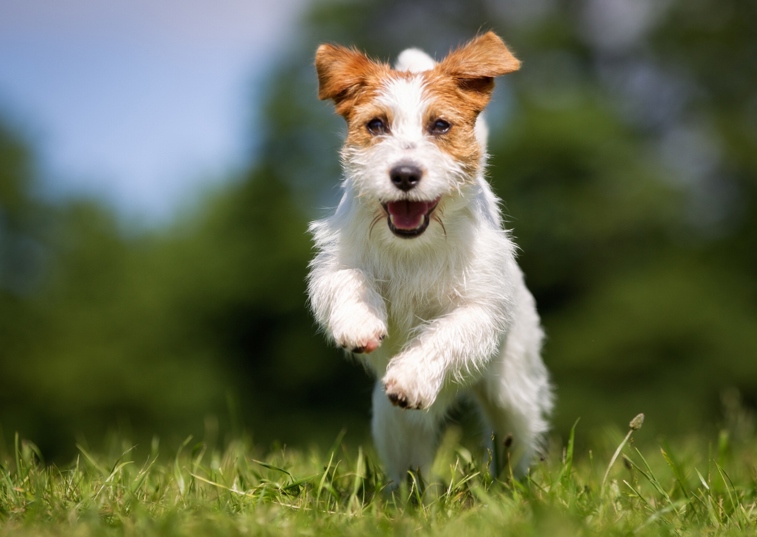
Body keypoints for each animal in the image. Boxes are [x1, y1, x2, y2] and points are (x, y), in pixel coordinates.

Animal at [306, 31, 548, 484]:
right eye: (376, 125)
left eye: (440, 125)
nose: (404, 174)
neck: (414, 246)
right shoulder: (336, 263)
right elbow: (349, 280)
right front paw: (360, 323)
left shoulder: (480, 307)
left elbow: (447, 332)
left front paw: (412, 376)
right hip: (393, 424)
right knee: (411, 462)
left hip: (513, 394)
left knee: (514, 439)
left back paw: (510, 487)